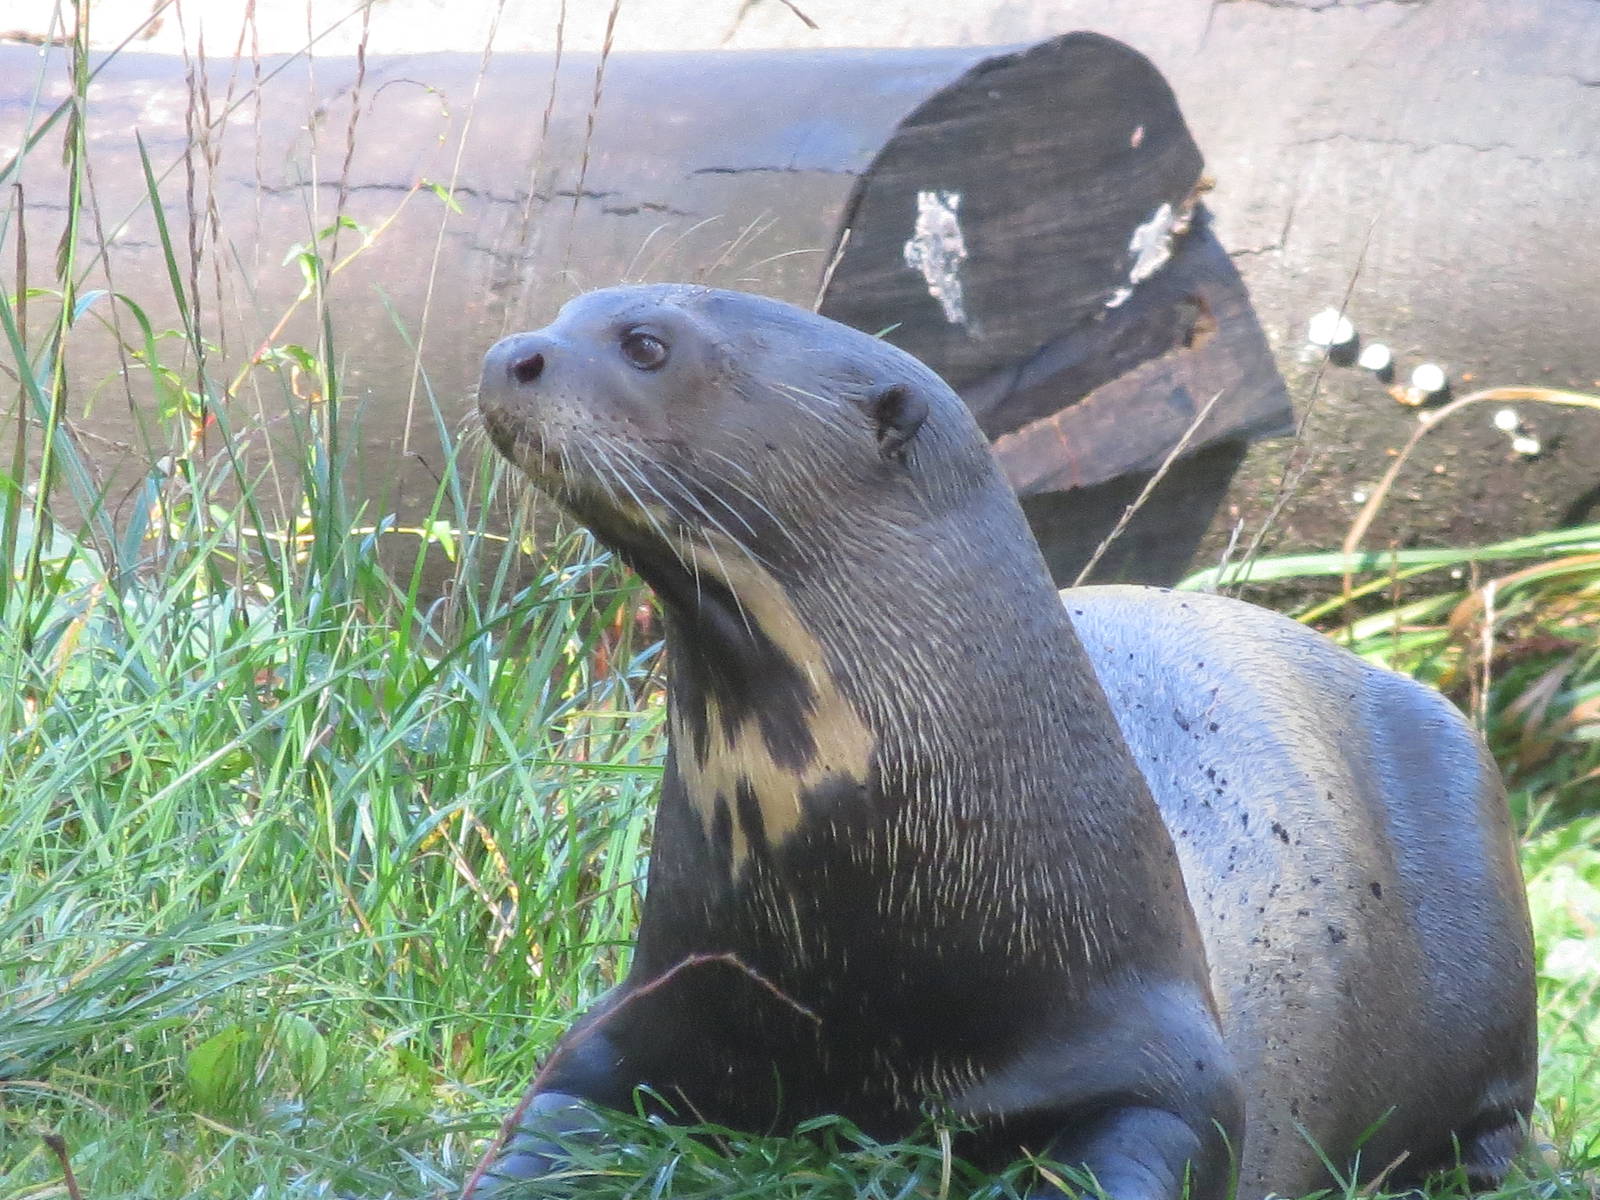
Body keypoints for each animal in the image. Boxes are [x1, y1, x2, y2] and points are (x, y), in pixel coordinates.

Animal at [468, 284, 1535, 1200]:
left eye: (647, 346)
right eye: (572, 308)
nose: (509, 353)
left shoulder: (1164, 1065)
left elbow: (1153, 1138)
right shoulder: (650, 1008)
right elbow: (556, 1104)